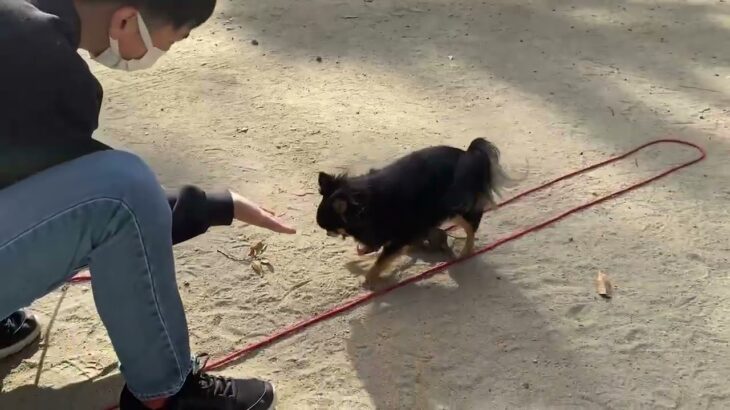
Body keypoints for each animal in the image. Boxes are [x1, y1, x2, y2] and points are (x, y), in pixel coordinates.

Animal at [314, 137, 512, 282]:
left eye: (329, 228)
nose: (327, 234)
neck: (364, 204)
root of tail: (469, 154)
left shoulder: (401, 234)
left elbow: (382, 258)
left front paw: (369, 279)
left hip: (455, 207)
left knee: (471, 227)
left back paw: (465, 252)